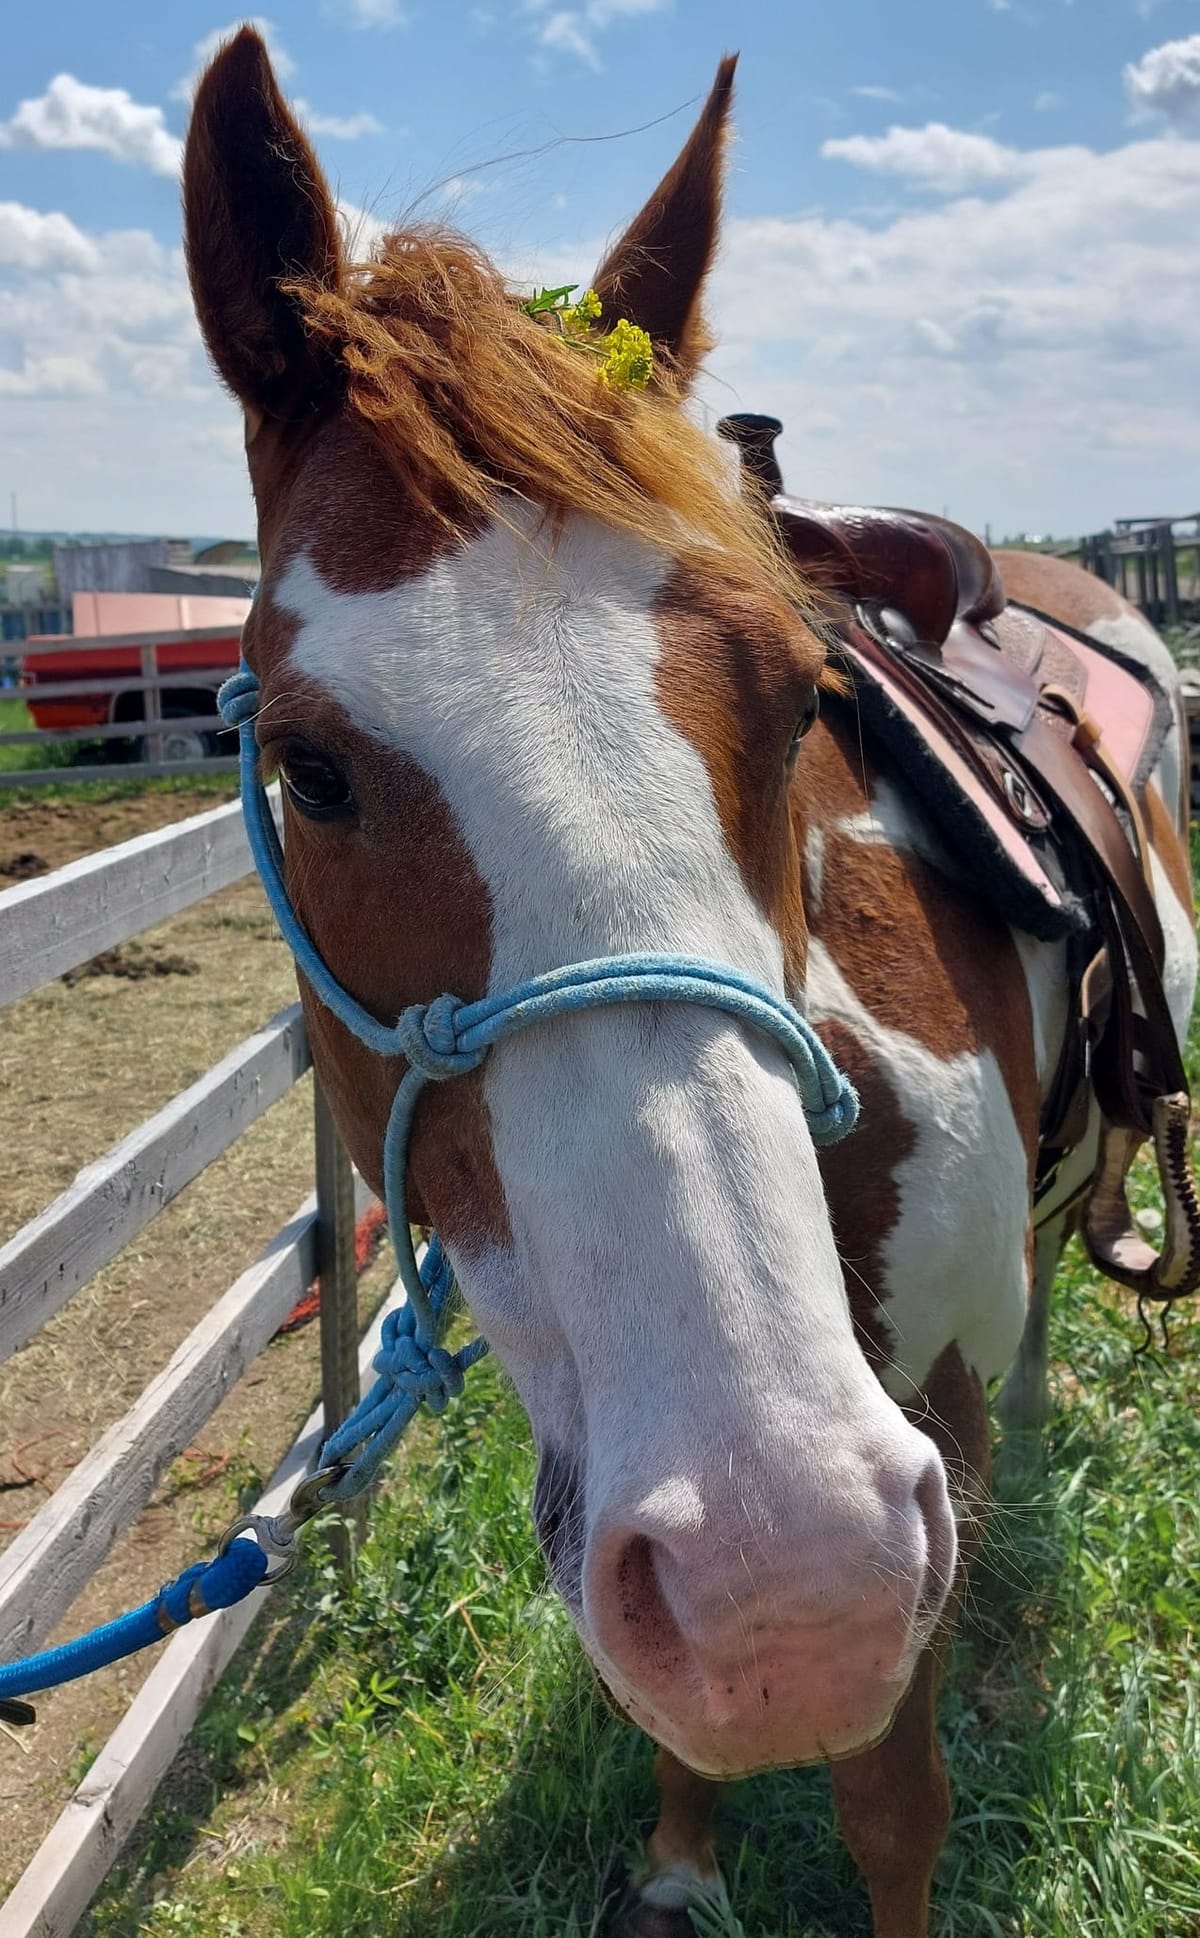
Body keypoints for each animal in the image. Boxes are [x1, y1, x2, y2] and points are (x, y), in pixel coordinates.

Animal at [183, 33, 1195, 1937]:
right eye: (306, 768)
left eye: (804, 703)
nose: (779, 1579)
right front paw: (677, 1855)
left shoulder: (917, 1433)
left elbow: (892, 1800)